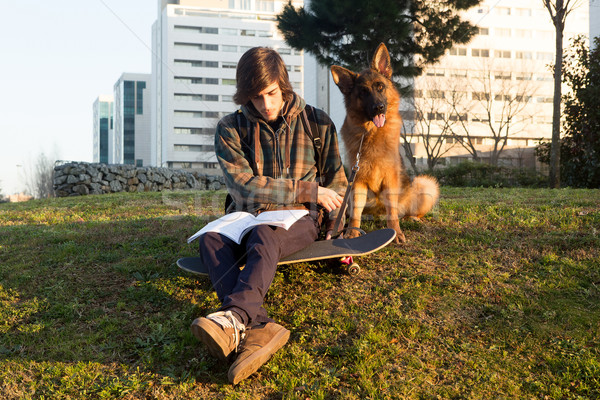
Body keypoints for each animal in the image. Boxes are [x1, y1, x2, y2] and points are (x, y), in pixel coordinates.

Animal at [330, 43, 438, 244]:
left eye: (380, 87)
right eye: (363, 92)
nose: (378, 107)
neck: (371, 133)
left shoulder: (390, 179)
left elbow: (392, 212)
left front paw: (396, 232)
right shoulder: (357, 182)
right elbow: (355, 213)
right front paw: (351, 233)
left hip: (425, 185)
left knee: (407, 212)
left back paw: (411, 218)